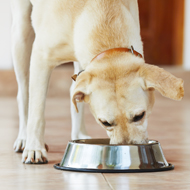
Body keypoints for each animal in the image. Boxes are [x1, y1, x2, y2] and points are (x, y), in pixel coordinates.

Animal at [10, 0, 184, 163]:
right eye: (105, 123)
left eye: (139, 116)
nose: (126, 151)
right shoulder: (41, 58)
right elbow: (37, 112)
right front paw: (35, 148)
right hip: (21, 36)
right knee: (24, 94)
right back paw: (24, 138)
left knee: (74, 91)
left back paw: (79, 134)